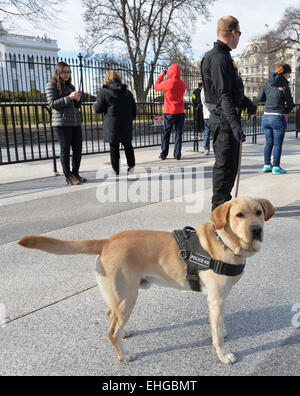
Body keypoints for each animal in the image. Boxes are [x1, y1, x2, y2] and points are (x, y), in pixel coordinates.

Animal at [17, 196, 274, 366]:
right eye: (239, 215)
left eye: (258, 212)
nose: (256, 229)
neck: (225, 242)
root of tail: (108, 240)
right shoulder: (216, 299)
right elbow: (217, 335)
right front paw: (223, 354)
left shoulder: (218, 300)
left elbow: (218, 325)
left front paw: (222, 330)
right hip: (127, 297)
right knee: (111, 331)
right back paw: (124, 355)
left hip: (119, 297)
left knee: (109, 316)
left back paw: (124, 334)